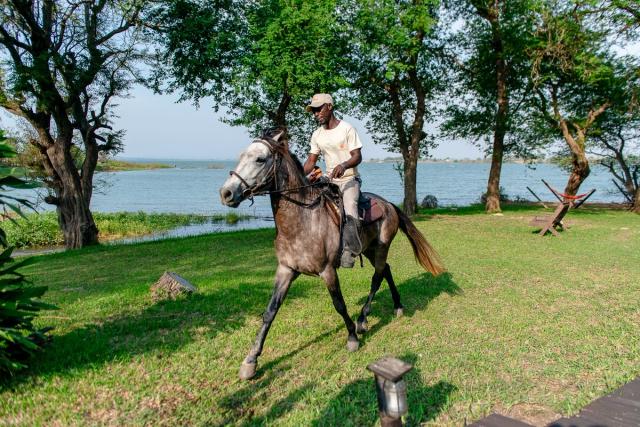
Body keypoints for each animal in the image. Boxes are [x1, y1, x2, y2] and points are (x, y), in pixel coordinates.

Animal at [219, 129, 445, 380]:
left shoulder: (327, 271)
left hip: (381, 248)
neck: (302, 220)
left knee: (377, 278)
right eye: (242, 156)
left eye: (260, 159)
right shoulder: (286, 270)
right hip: (369, 249)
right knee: (386, 270)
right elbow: (270, 311)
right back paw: (396, 306)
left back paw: (362, 320)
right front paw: (251, 360)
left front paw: (352, 338)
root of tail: (388, 205)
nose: (226, 193)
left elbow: (340, 304)